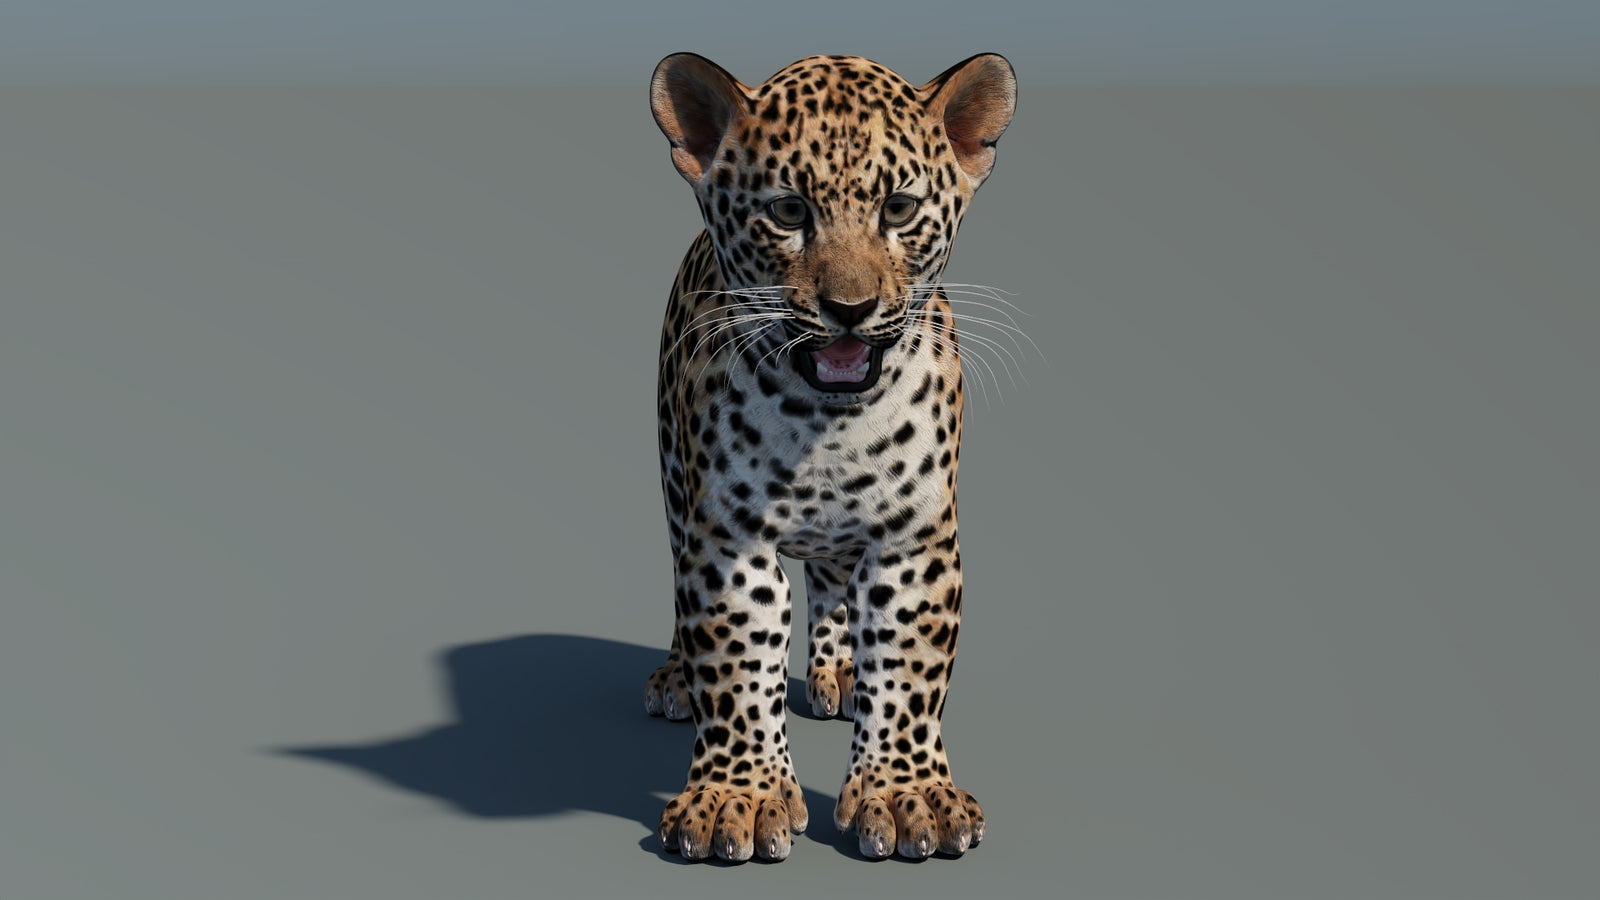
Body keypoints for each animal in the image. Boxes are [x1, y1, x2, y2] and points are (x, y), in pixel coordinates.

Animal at [640, 51, 1016, 862]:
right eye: (788, 213)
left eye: (899, 210)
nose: (850, 309)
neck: (826, 424)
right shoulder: (730, 538)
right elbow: (737, 653)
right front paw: (739, 798)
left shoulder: (913, 539)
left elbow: (907, 666)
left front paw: (909, 794)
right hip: (675, 479)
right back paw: (679, 677)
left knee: (837, 583)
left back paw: (840, 671)